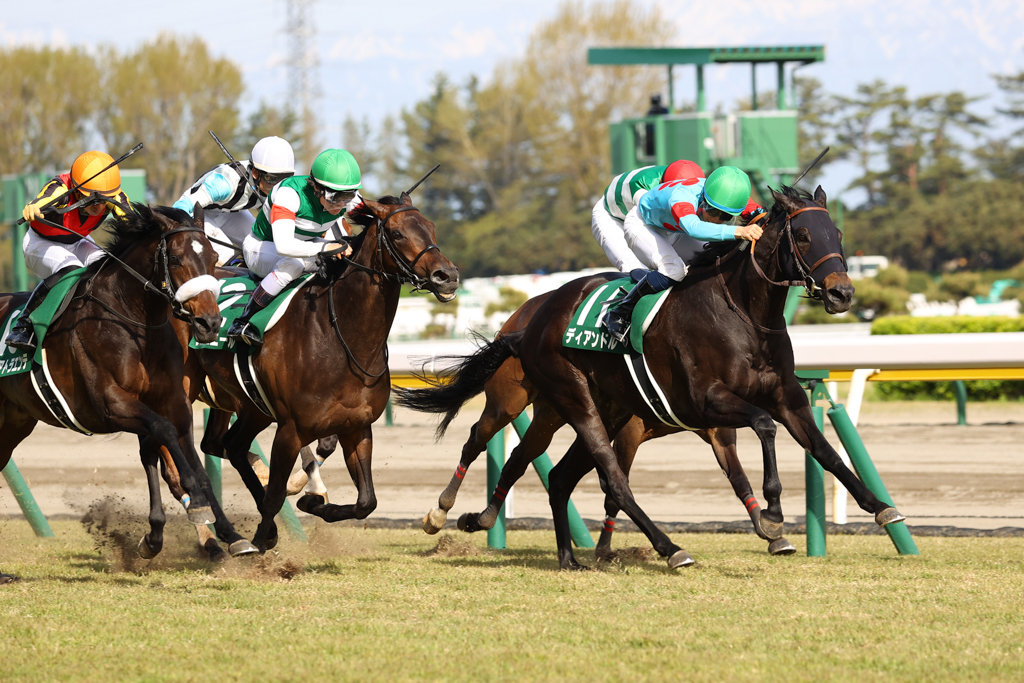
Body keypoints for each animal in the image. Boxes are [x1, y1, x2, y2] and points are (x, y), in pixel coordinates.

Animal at [0, 205, 256, 565]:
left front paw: (229, 534)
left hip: (15, 421)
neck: (133, 321)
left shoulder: (174, 402)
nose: (209, 323)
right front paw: (193, 508)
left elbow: (186, 458)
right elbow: (164, 436)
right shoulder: (110, 405)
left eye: (213, 256)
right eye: (175, 259)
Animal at [192, 191, 460, 548]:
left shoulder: (356, 427)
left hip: (250, 406)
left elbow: (366, 502)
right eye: (397, 233)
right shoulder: (291, 430)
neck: (339, 340)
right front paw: (263, 536)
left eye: (431, 227)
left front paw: (312, 502)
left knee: (228, 445)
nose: (448, 275)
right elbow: (276, 495)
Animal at [415, 290, 798, 557]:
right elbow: (614, 486)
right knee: (476, 440)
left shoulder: (717, 428)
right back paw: (440, 511)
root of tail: (520, 321)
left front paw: (770, 530)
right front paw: (604, 549)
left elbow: (738, 478)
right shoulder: (630, 432)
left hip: (550, 415)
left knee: (519, 460)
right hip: (508, 402)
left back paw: (483, 516)